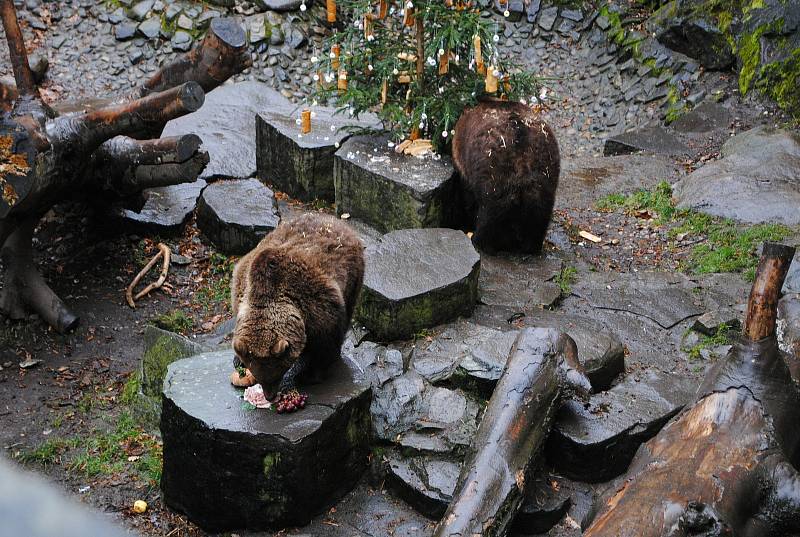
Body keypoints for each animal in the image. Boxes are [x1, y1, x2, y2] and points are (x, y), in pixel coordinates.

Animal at [230, 211, 364, 400]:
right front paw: (238, 359)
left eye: (276, 373)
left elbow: (326, 345)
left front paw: (309, 375)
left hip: (353, 276)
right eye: (258, 375)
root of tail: (333, 220)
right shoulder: (240, 290)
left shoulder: (318, 307)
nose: (270, 396)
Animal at [454, 99, 560, 254]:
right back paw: (531, 244)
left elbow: (469, 196)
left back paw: (480, 241)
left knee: (490, 212)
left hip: (494, 174)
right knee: (540, 212)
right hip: (545, 174)